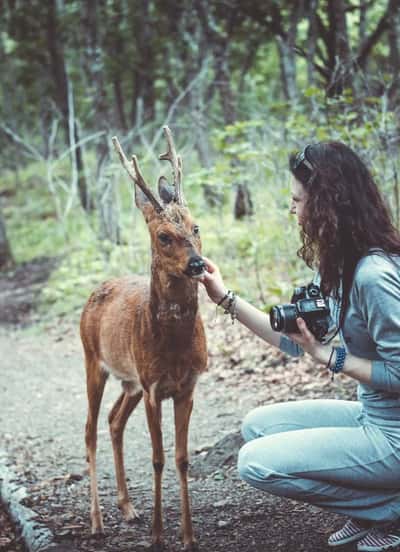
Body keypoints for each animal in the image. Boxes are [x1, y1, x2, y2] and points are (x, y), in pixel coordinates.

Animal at [79, 127, 208, 548]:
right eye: (164, 236)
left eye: (196, 227)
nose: (198, 264)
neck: (174, 347)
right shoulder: (154, 388)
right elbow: (157, 458)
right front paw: (157, 534)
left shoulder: (186, 386)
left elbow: (181, 458)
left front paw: (188, 536)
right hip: (93, 361)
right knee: (90, 430)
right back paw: (97, 522)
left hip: (130, 381)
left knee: (113, 420)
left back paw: (127, 507)